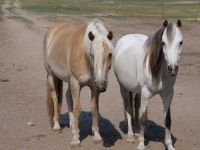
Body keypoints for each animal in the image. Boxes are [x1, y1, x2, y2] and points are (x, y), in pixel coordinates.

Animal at [113, 20, 182, 150]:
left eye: (180, 42)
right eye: (163, 43)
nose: (172, 69)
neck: (159, 72)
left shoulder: (168, 94)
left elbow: (167, 120)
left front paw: (169, 145)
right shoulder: (145, 93)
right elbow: (144, 118)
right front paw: (141, 144)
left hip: (136, 91)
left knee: (135, 105)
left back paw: (136, 131)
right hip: (123, 87)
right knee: (128, 108)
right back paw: (130, 136)